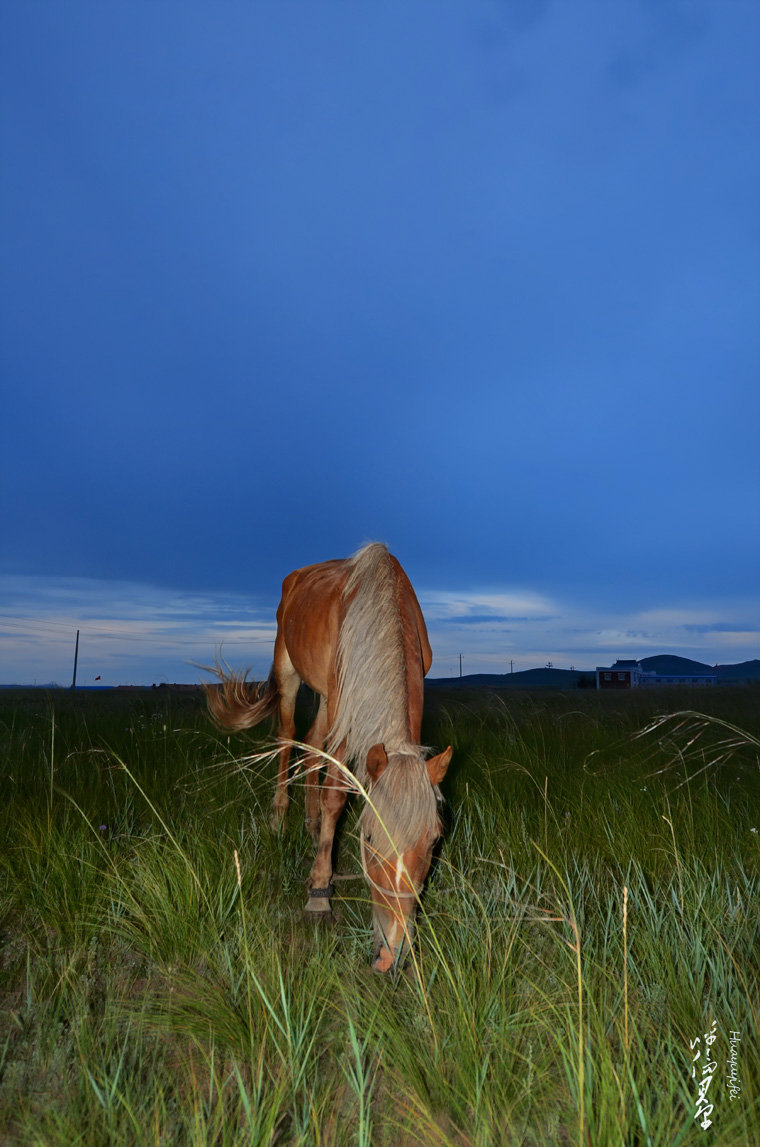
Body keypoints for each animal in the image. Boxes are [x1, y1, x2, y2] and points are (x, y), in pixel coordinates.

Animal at [206, 541, 451, 972]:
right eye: (368, 838)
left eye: (435, 839)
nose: (391, 954)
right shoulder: (344, 711)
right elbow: (336, 795)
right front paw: (319, 892)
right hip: (291, 672)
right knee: (289, 739)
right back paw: (280, 816)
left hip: (325, 698)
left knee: (311, 746)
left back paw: (311, 818)